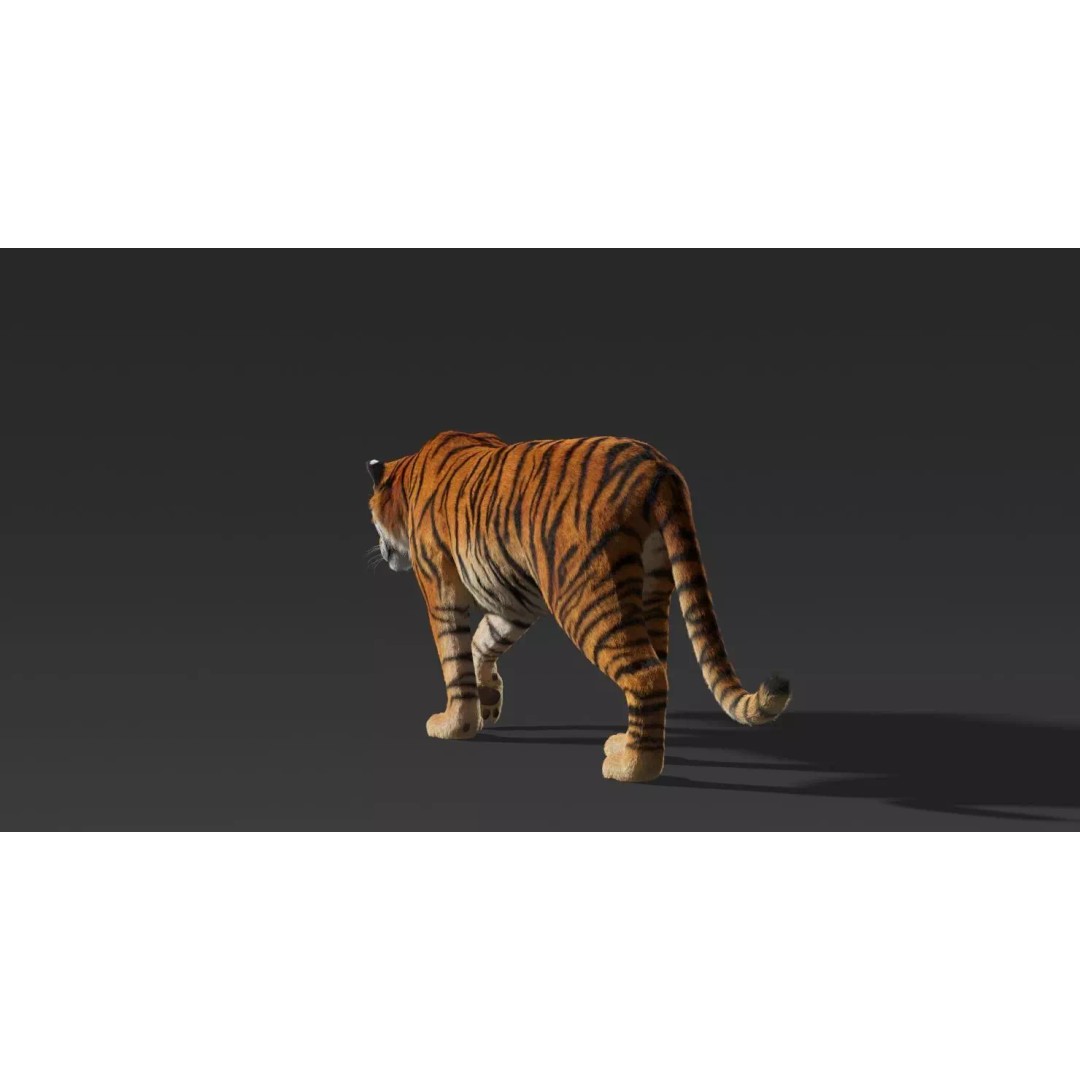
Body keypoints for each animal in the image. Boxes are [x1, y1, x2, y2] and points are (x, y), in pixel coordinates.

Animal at [368, 430, 791, 783]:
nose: (384, 552)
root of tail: (656, 466)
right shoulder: (513, 601)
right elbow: (482, 643)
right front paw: (487, 702)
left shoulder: (439, 584)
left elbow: (454, 656)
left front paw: (455, 725)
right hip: (652, 589)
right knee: (657, 667)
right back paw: (627, 744)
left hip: (588, 598)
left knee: (647, 673)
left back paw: (634, 768)